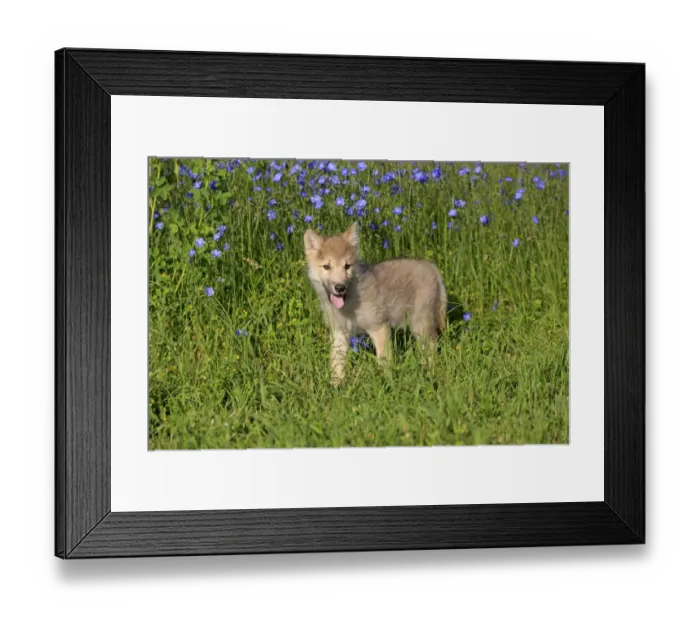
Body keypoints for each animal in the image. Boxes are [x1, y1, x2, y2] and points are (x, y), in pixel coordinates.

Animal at [303, 222, 447, 386]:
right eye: (327, 266)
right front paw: (336, 386)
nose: (340, 287)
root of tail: (433, 268)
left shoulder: (379, 327)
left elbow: (384, 362)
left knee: (431, 348)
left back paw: (429, 374)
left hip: (420, 325)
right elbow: (336, 363)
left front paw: (386, 385)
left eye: (347, 266)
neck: (350, 302)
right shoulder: (340, 332)